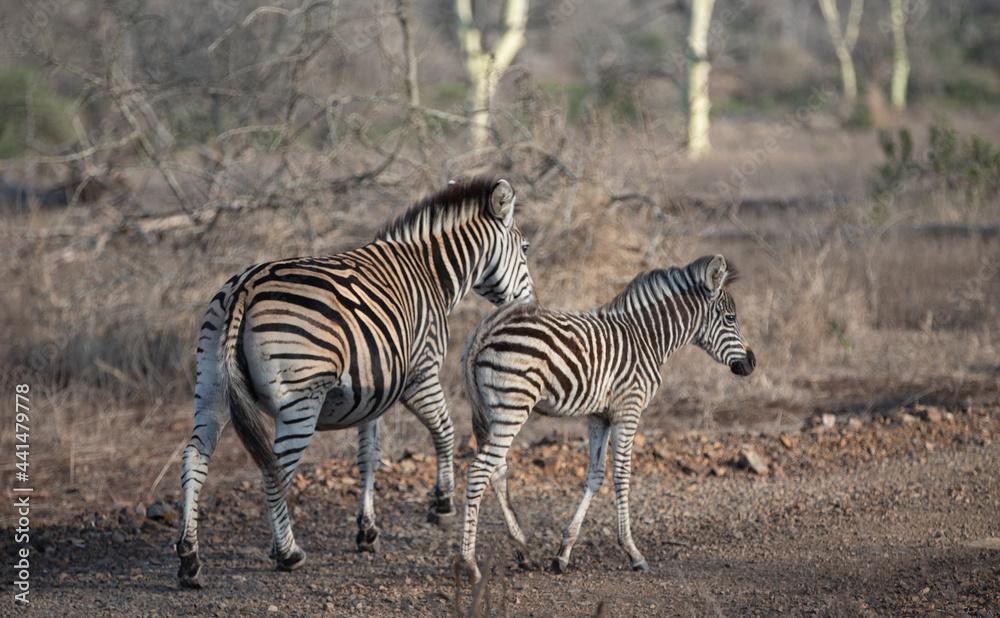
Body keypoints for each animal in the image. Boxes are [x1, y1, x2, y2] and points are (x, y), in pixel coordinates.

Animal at [176, 177, 534, 588]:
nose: (529, 309)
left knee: (195, 458)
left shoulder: (375, 389)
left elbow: (368, 457)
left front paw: (366, 530)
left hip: (211, 386)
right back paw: (288, 553)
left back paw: (189, 560)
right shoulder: (420, 373)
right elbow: (444, 432)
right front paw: (442, 504)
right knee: (273, 471)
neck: (431, 273)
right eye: (525, 248)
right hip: (301, 400)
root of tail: (245, 288)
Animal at [458, 254, 755, 582]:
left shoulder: (598, 415)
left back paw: (523, 551)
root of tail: (485, 330)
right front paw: (633, 552)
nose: (751, 363)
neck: (647, 339)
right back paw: (470, 564)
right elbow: (622, 475)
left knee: (496, 470)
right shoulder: (629, 407)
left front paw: (563, 553)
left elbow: (595, 476)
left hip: (495, 409)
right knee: (479, 471)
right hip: (513, 405)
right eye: (730, 318)